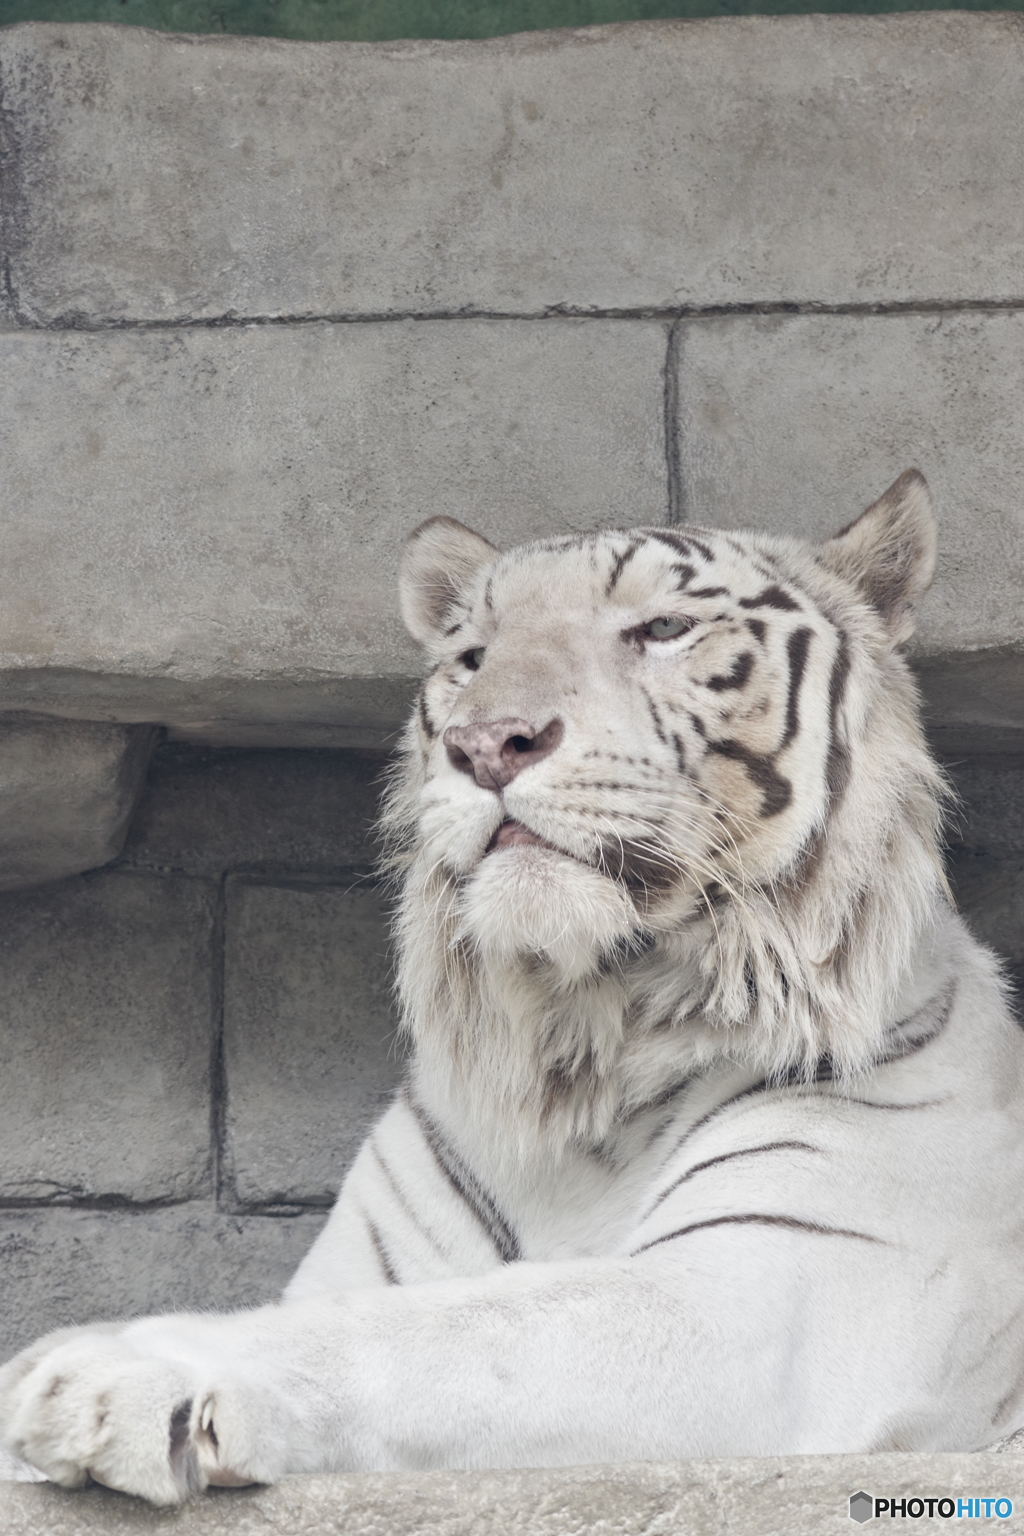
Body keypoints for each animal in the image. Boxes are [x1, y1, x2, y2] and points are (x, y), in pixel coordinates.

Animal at [2, 470, 1024, 1499]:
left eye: (661, 628)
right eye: (472, 657)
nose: (489, 742)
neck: (584, 1051)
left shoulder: (762, 1291)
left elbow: (454, 1327)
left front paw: (103, 1369)